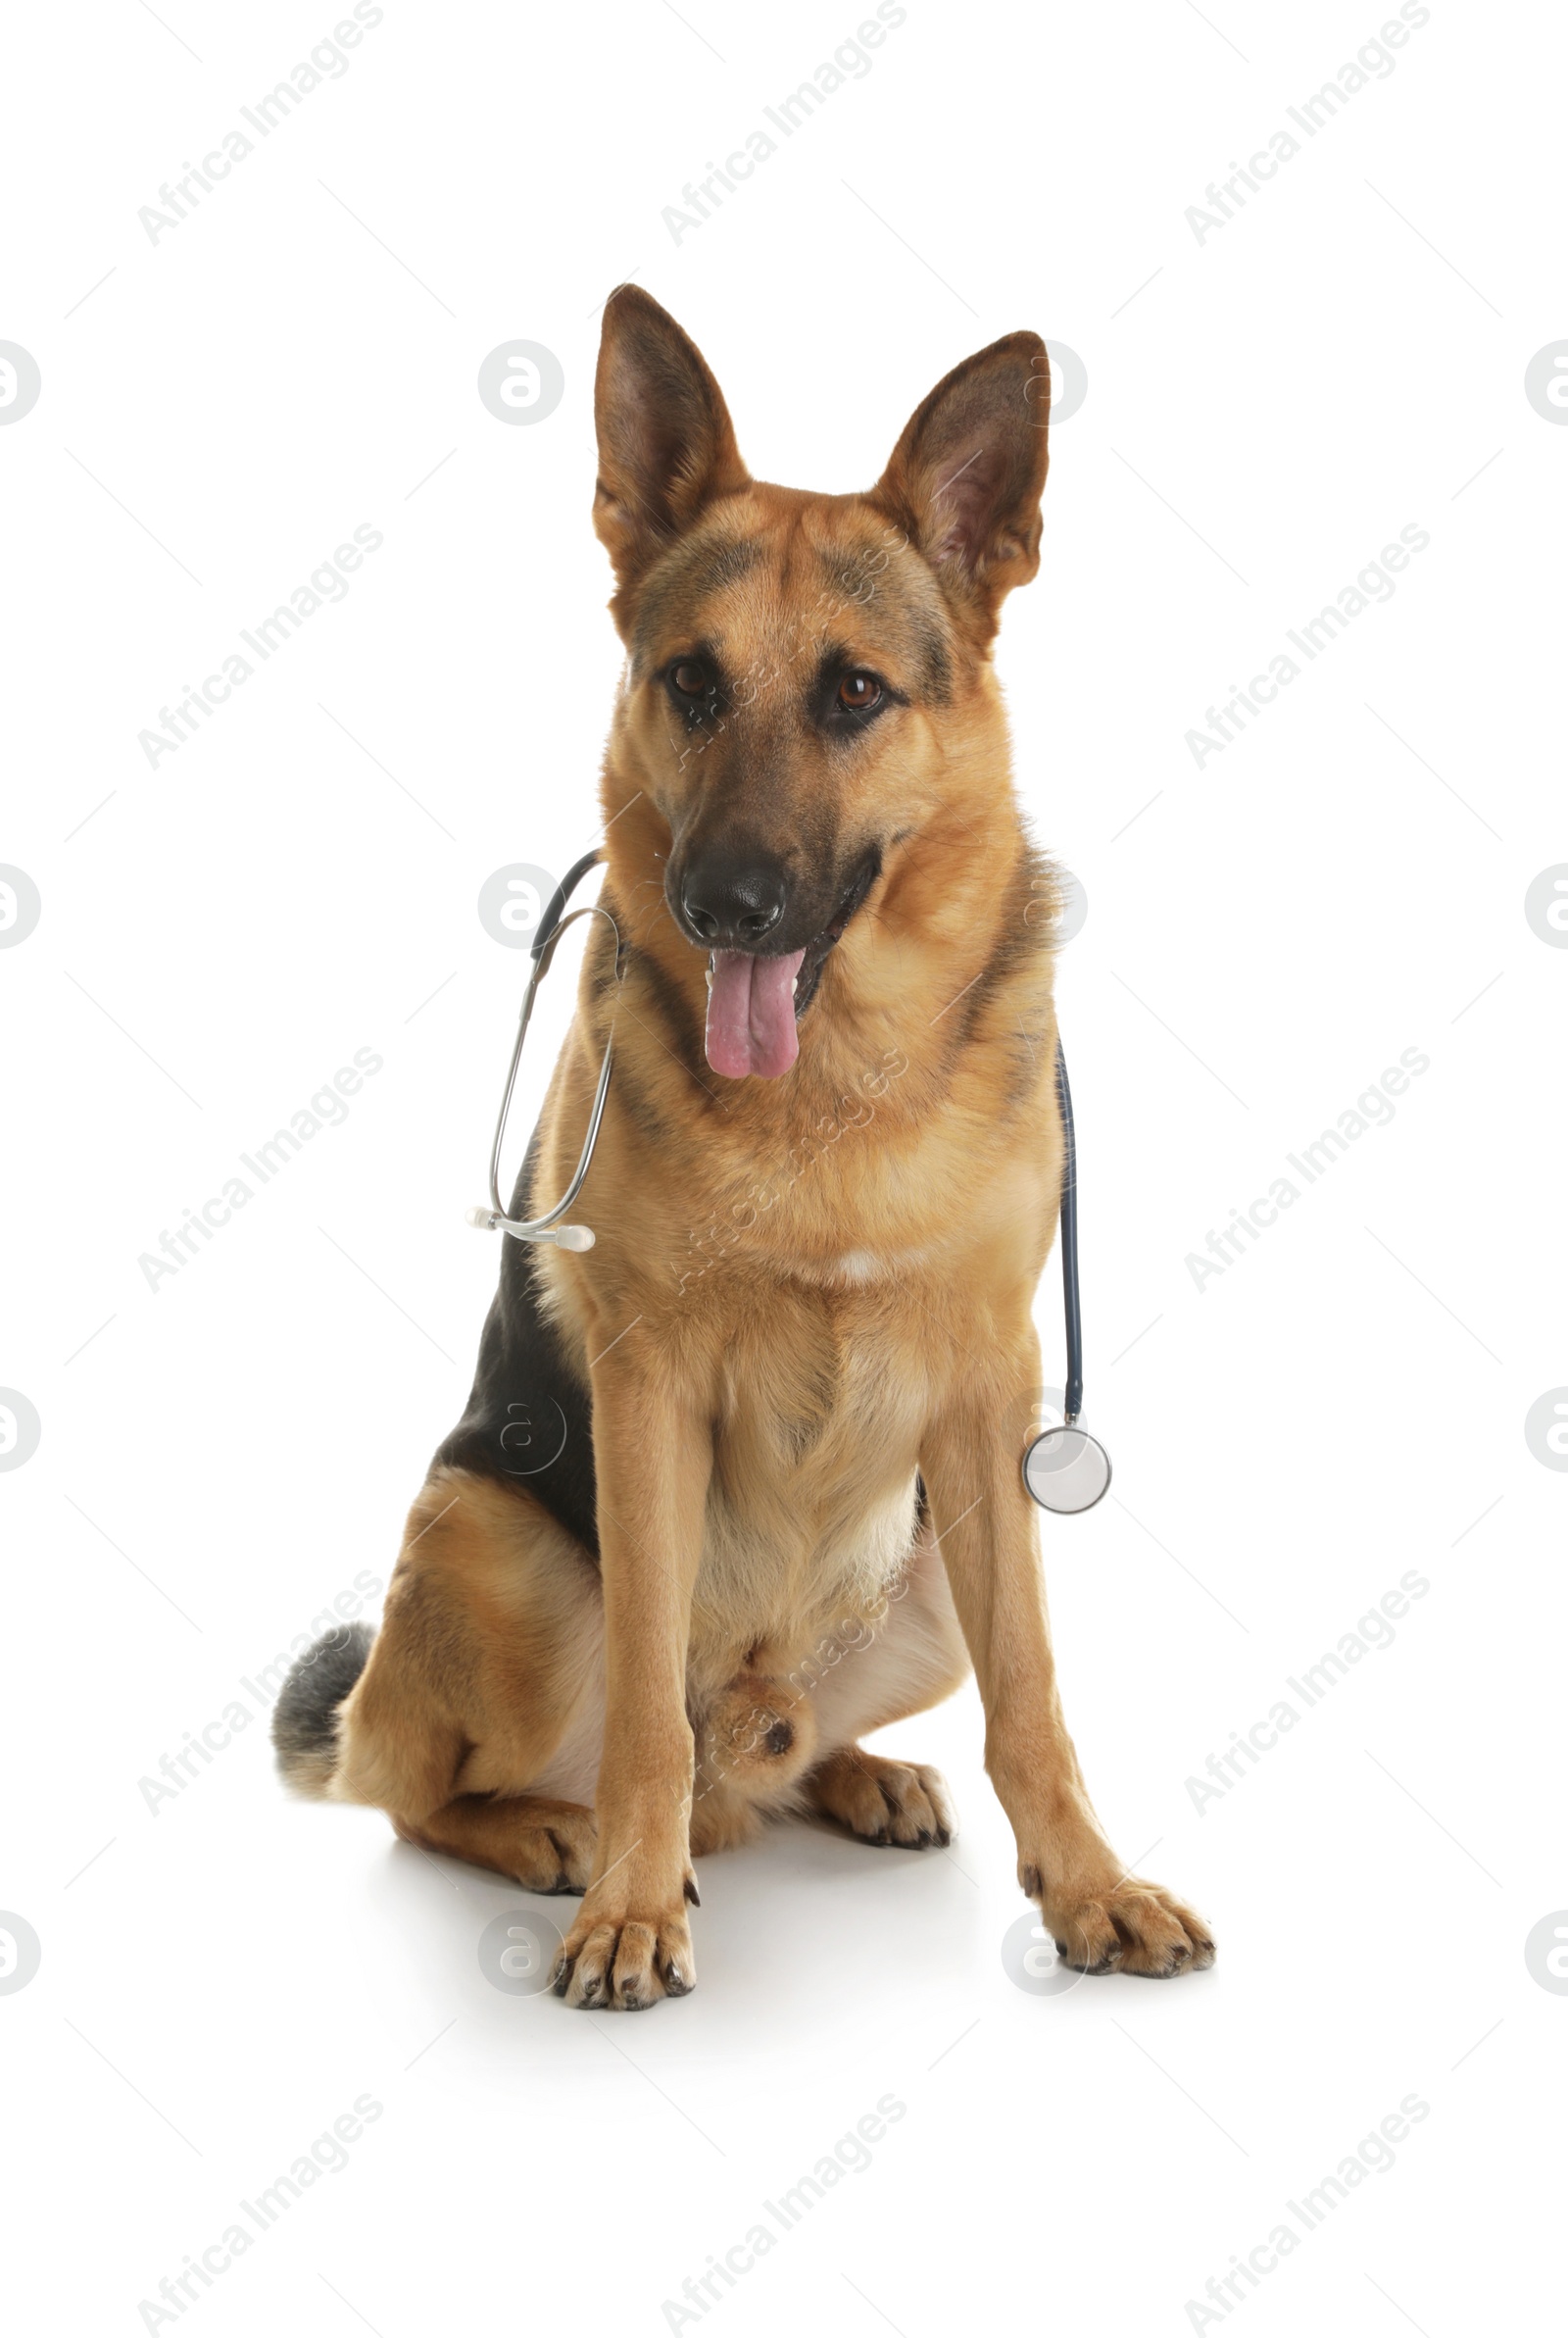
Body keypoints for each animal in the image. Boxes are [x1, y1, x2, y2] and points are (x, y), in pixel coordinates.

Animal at [275, 287, 1224, 2011]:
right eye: (692, 684)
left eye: (855, 693)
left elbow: (1035, 1697)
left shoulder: (984, 1398)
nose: (726, 906)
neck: (831, 1088)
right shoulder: (648, 1392)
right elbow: (647, 1702)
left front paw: (1086, 1887)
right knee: (440, 1784)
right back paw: (557, 1834)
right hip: (493, 1548)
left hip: (926, 1569)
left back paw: (849, 1774)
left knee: (795, 1752)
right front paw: (630, 1911)